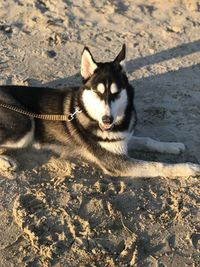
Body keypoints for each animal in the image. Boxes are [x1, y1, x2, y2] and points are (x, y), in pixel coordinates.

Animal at [0, 44, 200, 178]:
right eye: (97, 92)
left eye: (116, 93)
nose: (107, 120)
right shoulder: (117, 162)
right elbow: (159, 166)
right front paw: (188, 167)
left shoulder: (123, 139)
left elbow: (148, 140)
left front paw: (172, 146)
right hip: (25, 124)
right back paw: (6, 161)